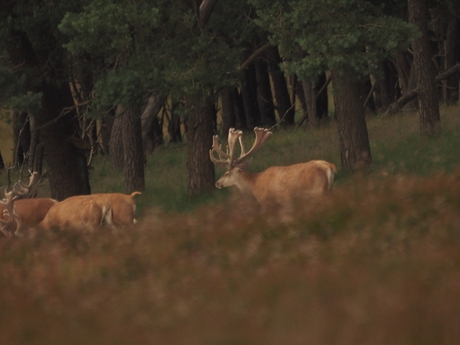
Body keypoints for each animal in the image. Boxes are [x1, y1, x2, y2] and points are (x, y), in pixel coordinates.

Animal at [209, 128, 338, 204]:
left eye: (226, 173)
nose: (216, 183)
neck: (254, 184)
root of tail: (329, 166)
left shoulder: (267, 201)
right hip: (329, 189)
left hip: (318, 191)